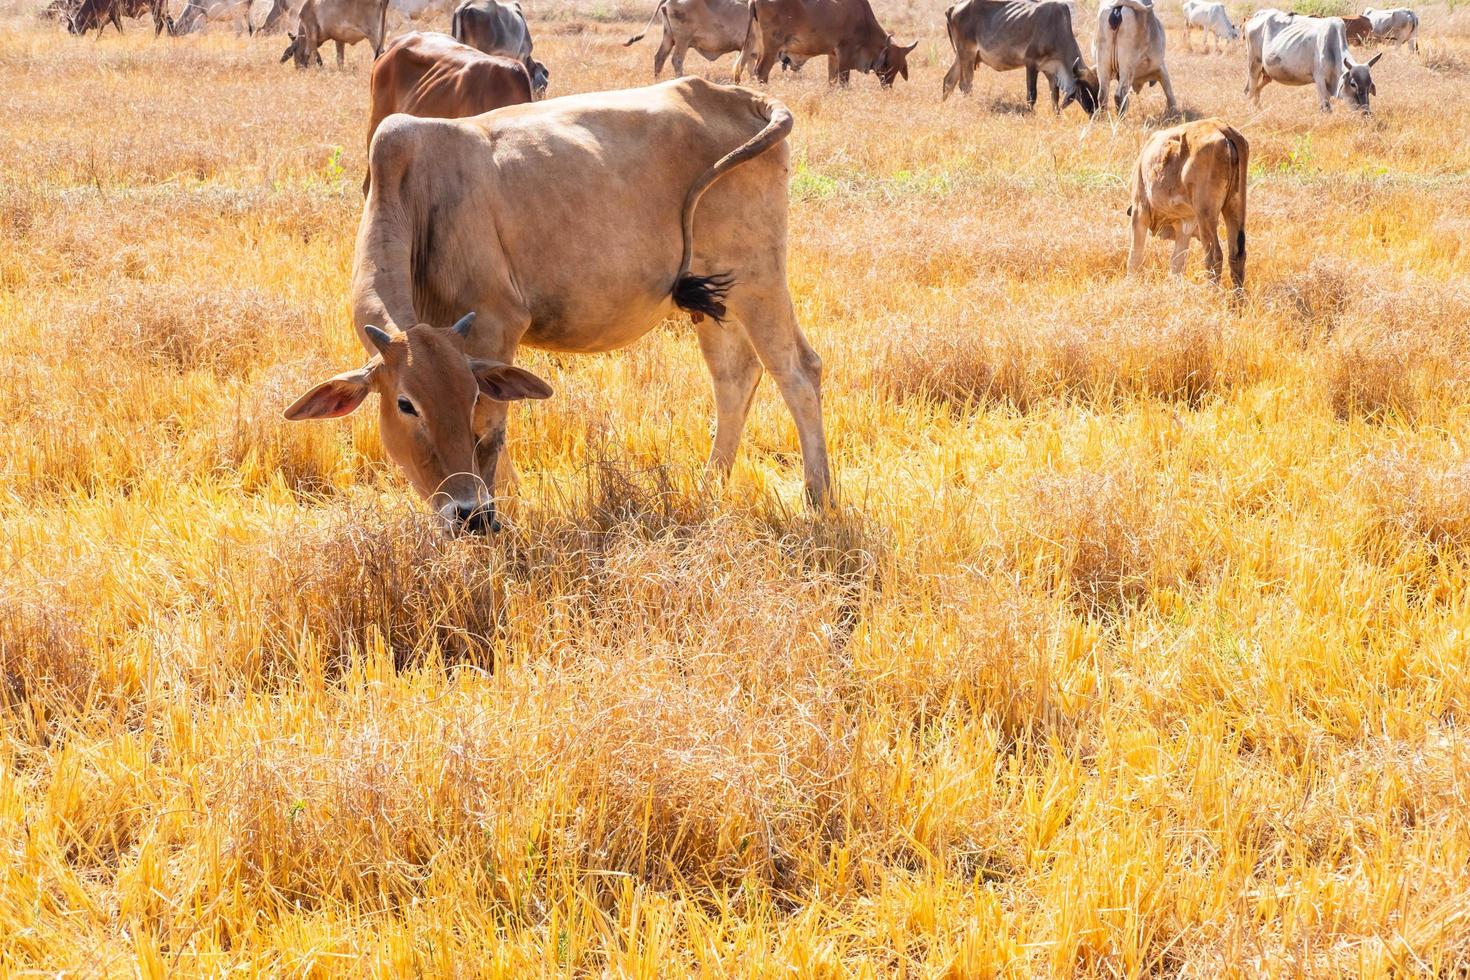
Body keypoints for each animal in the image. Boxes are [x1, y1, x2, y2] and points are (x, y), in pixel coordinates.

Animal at [286, 79, 834, 528]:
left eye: (466, 396)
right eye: (406, 403)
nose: (468, 514)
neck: (415, 199)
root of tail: (740, 96)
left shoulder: (494, 325)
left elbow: (491, 431)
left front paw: (504, 514)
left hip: (759, 280)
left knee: (798, 371)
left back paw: (819, 496)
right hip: (716, 300)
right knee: (734, 378)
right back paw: (709, 487)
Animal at [740, 0, 911, 86]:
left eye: (898, 68)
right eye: (888, 64)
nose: (887, 86)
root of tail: (755, 1)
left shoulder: (833, 55)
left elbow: (832, 81)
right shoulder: (845, 53)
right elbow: (843, 81)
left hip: (760, 46)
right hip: (771, 48)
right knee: (761, 71)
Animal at [946, 0, 1099, 115]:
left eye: (1098, 88)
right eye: (1085, 89)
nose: (1097, 113)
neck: (1057, 30)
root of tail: (954, 7)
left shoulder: (1050, 71)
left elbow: (1054, 97)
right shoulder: (1031, 64)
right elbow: (1032, 95)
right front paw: (1030, 114)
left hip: (961, 56)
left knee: (949, 81)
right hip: (967, 54)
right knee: (965, 85)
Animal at [1128, 117, 1246, 289]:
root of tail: (1222, 129)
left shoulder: (1139, 211)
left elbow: (1134, 259)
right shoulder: (1185, 225)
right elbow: (1177, 264)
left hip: (1205, 214)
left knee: (1214, 255)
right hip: (1235, 207)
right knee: (1237, 255)